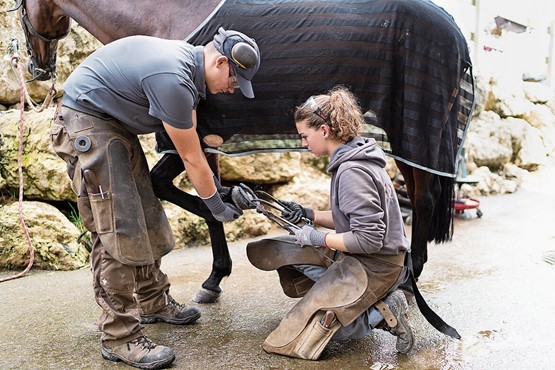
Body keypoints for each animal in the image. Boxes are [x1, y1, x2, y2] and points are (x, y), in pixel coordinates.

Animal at [10, 0, 476, 304]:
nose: (37, 68)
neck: (166, 17)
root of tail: (455, 29)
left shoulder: (190, 133)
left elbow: (187, 190)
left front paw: (216, 271)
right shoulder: (201, 137)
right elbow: (194, 191)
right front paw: (222, 254)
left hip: (414, 133)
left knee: (422, 198)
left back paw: (409, 276)